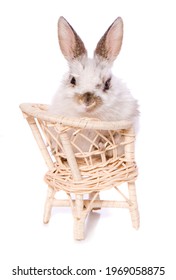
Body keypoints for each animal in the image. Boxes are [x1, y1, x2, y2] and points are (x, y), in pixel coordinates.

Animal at [48, 16, 139, 153]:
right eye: (72, 80)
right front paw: (56, 148)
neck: (88, 117)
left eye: (107, 83)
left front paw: (103, 146)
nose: (87, 101)